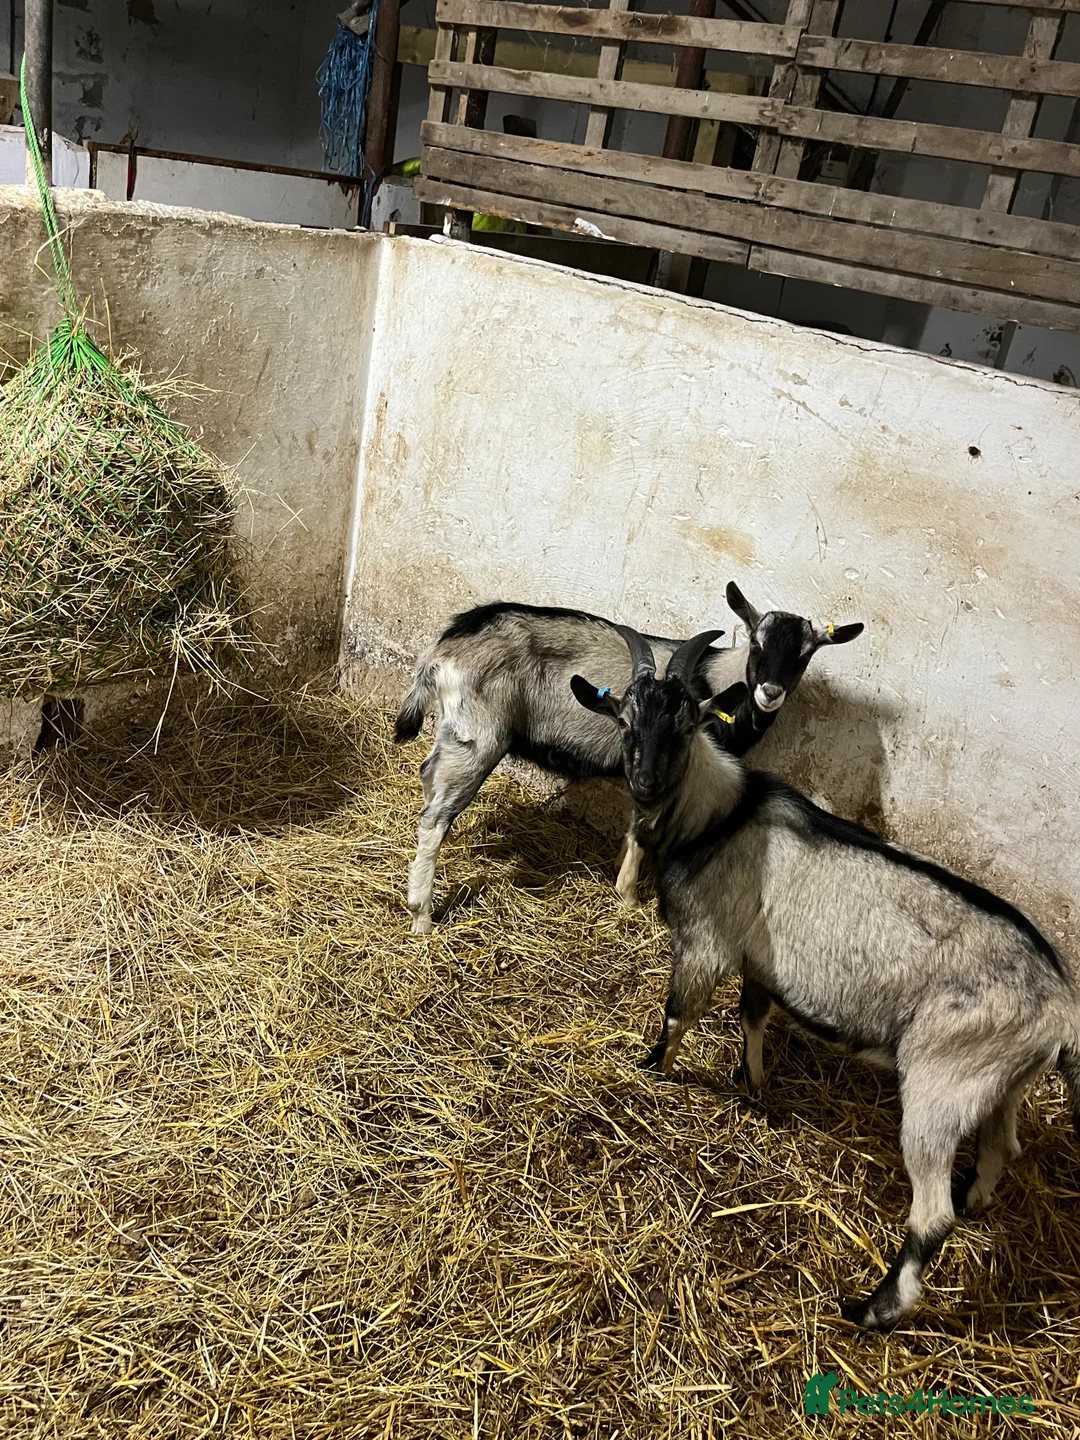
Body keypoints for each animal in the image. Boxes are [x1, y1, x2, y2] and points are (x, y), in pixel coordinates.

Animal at [394, 586, 861, 934]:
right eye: (756, 643)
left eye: (804, 654)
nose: (770, 693)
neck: (714, 684)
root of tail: (447, 645)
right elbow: (648, 827)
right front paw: (631, 897)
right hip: (481, 739)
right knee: (435, 818)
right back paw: (422, 915)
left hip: (456, 733)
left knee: (427, 775)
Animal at [571, 625, 1080, 1330]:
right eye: (625, 719)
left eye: (688, 721)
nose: (644, 785)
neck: (721, 817)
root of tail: (1061, 1007)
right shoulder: (761, 960)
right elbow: (753, 1016)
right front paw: (752, 1084)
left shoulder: (706, 943)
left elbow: (677, 1015)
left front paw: (649, 1072)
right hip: (1003, 1084)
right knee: (1002, 1150)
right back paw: (978, 1203)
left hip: (941, 1085)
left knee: (932, 1214)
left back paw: (873, 1310)